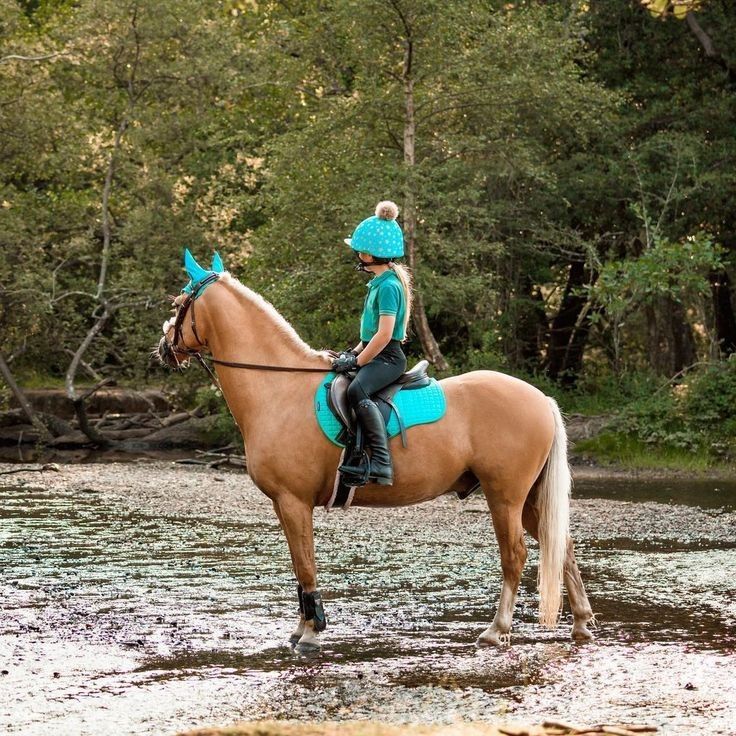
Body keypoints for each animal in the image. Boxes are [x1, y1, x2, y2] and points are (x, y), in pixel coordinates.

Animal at [157, 253, 595, 651]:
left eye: (179, 304)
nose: (163, 348)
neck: (278, 389)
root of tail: (541, 399)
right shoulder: (284, 504)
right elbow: (300, 568)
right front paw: (301, 628)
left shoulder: (293, 501)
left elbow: (305, 565)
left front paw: (311, 633)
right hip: (528, 497)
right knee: (563, 546)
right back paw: (582, 623)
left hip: (505, 495)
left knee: (515, 555)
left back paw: (496, 630)